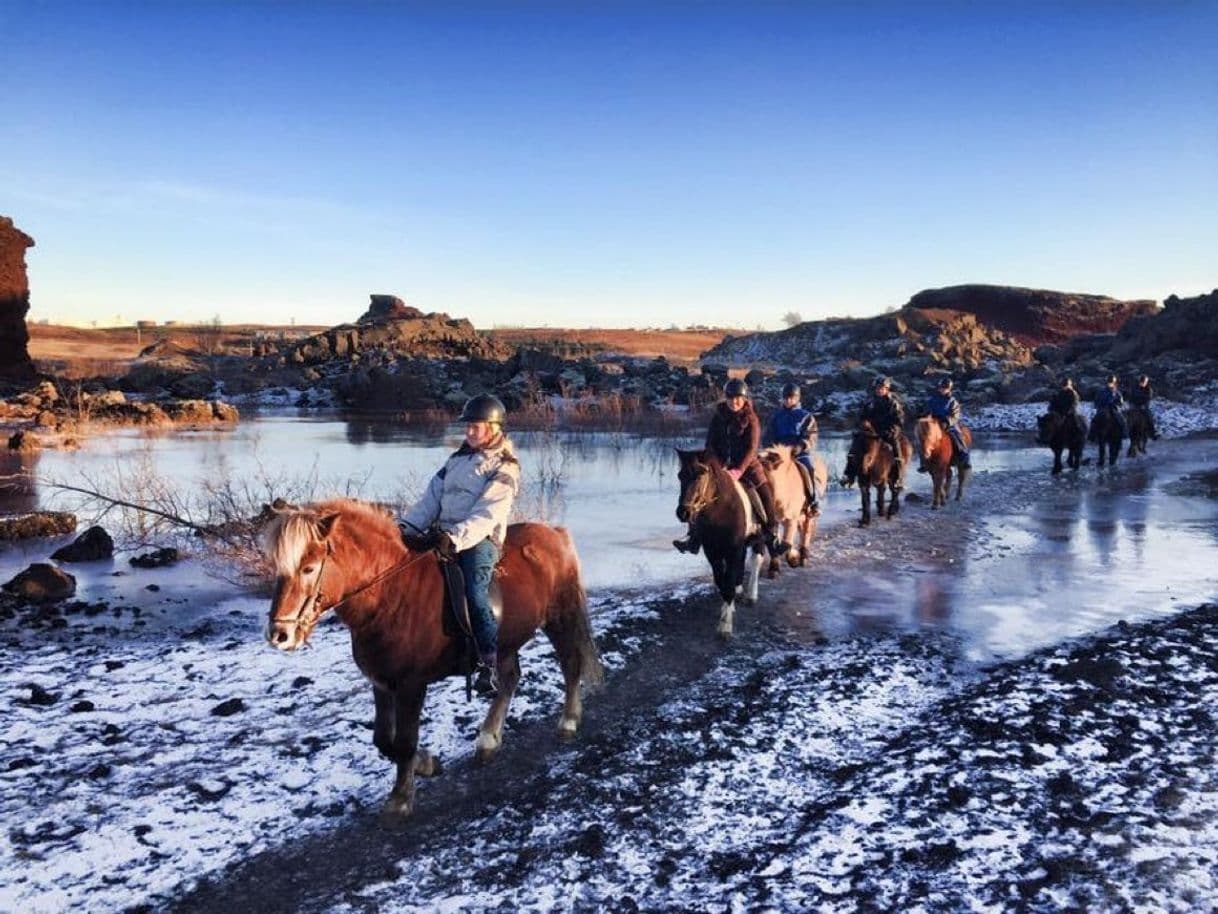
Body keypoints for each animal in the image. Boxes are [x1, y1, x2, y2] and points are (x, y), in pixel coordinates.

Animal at [259, 502, 601, 823]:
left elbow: (405, 741)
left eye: (308, 568)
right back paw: (488, 739)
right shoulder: (382, 682)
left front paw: (400, 798)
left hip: (559, 616)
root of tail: (554, 533)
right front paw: (426, 764)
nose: (280, 634)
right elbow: (383, 740)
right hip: (505, 642)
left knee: (570, 665)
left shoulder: (411, 685)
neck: (391, 595)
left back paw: (568, 721)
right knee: (509, 679)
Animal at [677, 448, 760, 638]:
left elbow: (728, 584)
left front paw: (725, 627)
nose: (683, 512)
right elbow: (722, 581)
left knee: (756, 561)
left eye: (700, 475)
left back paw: (751, 596)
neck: (721, 513)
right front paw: (727, 609)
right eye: (680, 476)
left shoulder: (733, 550)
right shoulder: (712, 551)